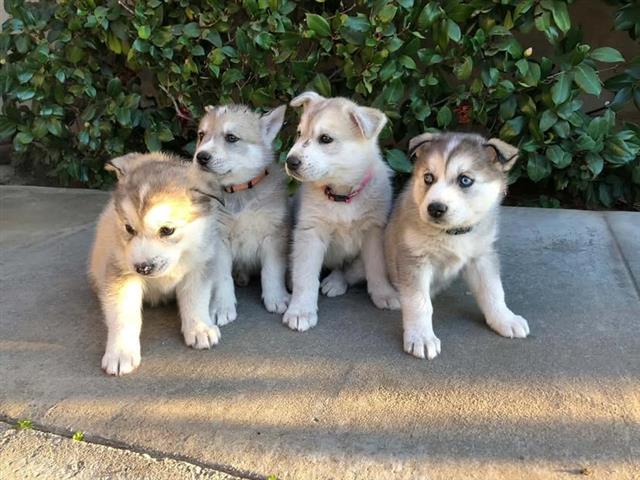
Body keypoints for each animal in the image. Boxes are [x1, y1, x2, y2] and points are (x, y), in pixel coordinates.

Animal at [89, 153, 225, 376]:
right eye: (129, 228)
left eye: (167, 230)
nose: (142, 268)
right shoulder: (120, 271)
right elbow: (123, 315)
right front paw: (120, 353)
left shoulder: (199, 266)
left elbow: (195, 299)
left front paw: (199, 328)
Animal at [191, 104, 288, 322]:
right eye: (201, 135)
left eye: (231, 138)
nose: (201, 157)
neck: (239, 190)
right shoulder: (219, 240)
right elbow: (222, 278)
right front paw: (222, 307)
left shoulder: (273, 235)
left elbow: (271, 271)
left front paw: (276, 298)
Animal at [282, 92, 398, 332]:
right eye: (299, 133)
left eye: (326, 139)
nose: (290, 162)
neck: (341, 196)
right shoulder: (310, 233)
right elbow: (305, 276)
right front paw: (301, 311)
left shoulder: (374, 231)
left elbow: (377, 267)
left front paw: (384, 293)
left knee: (348, 270)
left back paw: (335, 282)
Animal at [384, 131, 528, 360]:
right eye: (428, 178)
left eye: (465, 180)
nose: (435, 208)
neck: (453, 233)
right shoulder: (413, 259)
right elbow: (418, 303)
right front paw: (421, 337)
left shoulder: (482, 257)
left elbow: (493, 291)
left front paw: (505, 319)